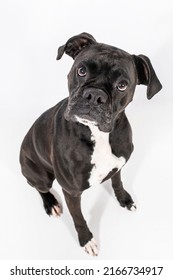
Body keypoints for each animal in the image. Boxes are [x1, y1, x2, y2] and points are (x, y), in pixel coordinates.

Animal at [19, 32, 162, 256]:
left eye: (122, 85)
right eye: (82, 70)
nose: (95, 95)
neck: (97, 134)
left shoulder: (118, 165)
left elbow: (117, 182)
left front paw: (124, 199)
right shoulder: (71, 192)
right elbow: (78, 217)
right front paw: (86, 239)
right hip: (39, 175)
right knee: (38, 187)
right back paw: (51, 204)